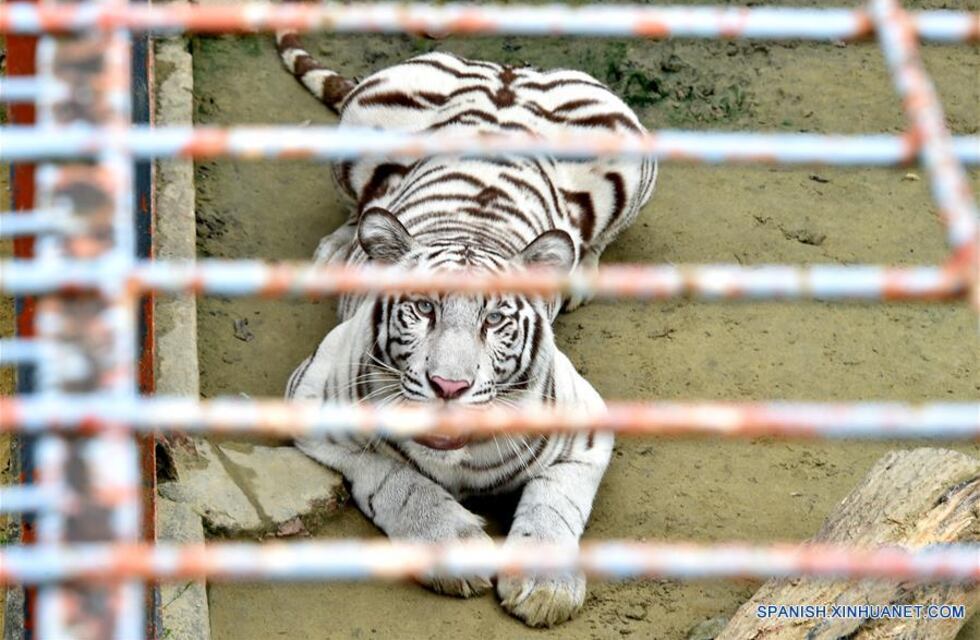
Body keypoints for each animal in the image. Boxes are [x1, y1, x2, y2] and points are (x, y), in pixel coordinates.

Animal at [278, 23, 657, 628]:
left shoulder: (587, 429)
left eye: (495, 319)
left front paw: (546, 589)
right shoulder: (312, 401)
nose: (448, 387)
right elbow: (399, 482)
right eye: (423, 309)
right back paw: (338, 251)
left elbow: (555, 505)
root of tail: (506, 70)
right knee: (359, 211)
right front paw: (455, 545)